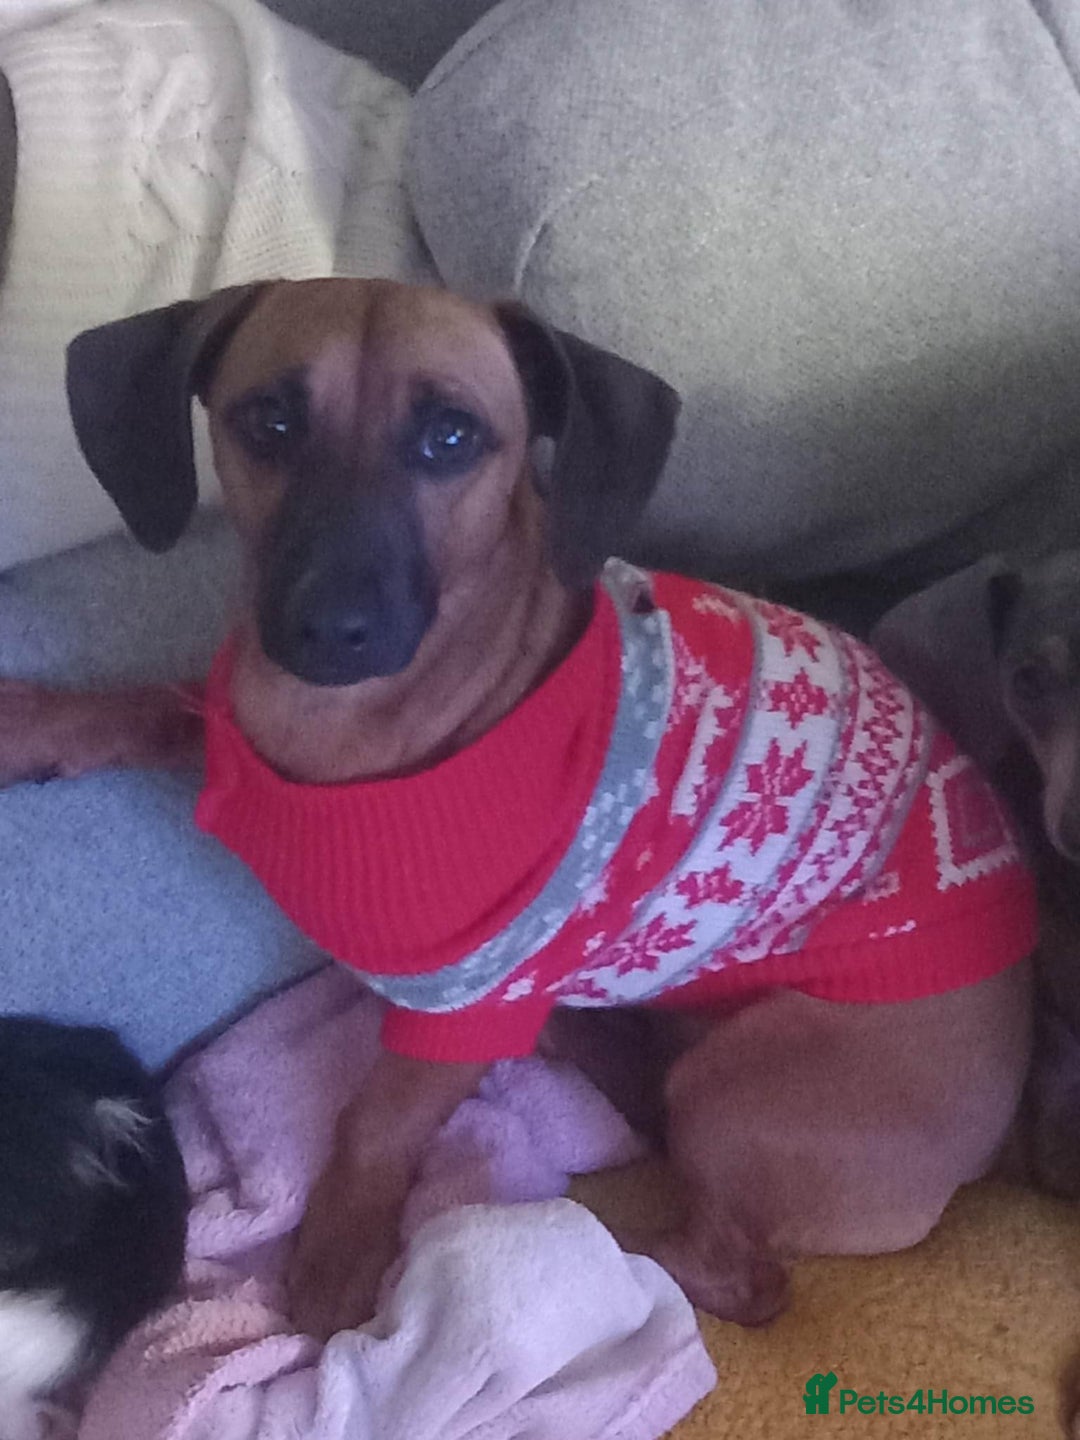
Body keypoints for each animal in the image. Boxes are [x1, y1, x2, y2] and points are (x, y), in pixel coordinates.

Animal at [0, 279, 1037, 1342]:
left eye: (453, 436)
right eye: (270, 420)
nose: (327, 629)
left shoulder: (464, 1007)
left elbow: (374, 1123)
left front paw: (340, 1257)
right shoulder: (239, 743)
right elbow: (160, 704)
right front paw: (40, 724)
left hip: (738, 1095)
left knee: (736, 1280)